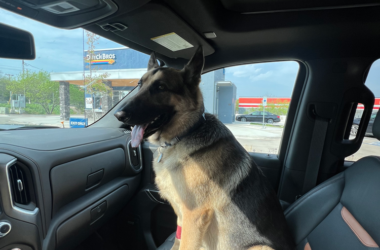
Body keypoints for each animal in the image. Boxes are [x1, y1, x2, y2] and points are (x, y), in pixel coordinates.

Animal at [114, 47, 296, 250]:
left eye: (160, 87)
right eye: (139, 85)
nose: (118, 115)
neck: (186, 133)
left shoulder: (194, 216)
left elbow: (185, 245)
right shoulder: (182, 218)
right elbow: (177, 240)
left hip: (260, 247)